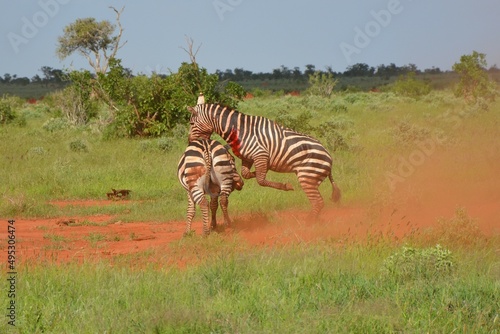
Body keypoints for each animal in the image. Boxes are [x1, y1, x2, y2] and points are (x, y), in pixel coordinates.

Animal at [187, 96, 340, 217]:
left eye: (191, 123)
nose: (190, 142)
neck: (240, 131)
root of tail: (329, 158)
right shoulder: (248, 158)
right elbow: (247, 174)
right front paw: (243, 178)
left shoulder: (260, 154)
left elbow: (261, 180)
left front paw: (285, 185)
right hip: (311, 178)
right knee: (318, 202)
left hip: (307, 177)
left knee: (318, 202)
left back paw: (309, 223)